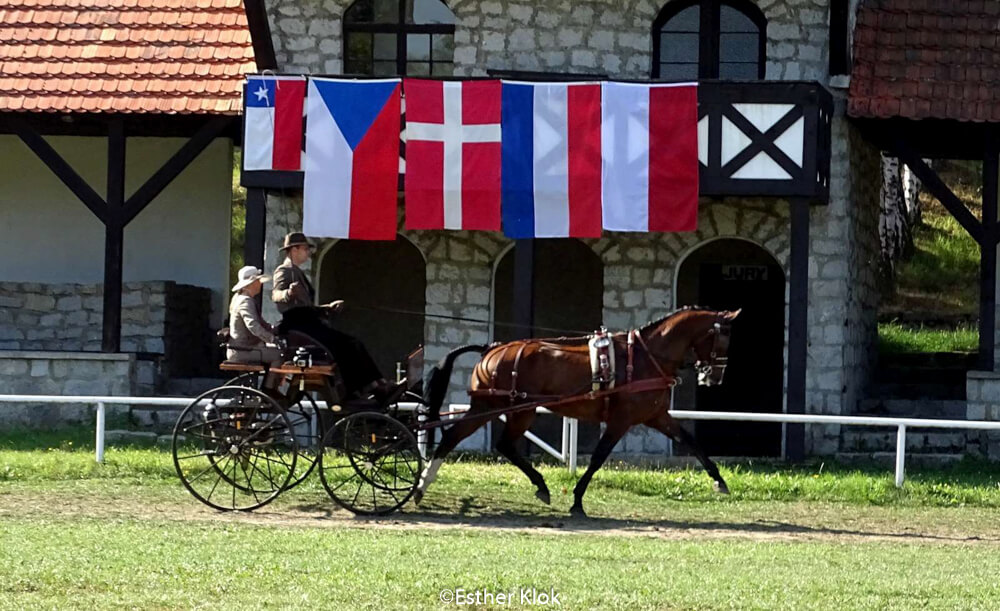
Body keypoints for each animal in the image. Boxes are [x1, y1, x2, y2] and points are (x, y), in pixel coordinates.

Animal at [410, 306, 740, 516]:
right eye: (723, 338)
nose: (715, 377)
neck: (646, 357)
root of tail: (492, 348)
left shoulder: (656, 416)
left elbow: (690, 441)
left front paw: (719, 481)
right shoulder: (621, 420)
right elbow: (597, 458)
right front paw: (578, 500)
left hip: (495, 407)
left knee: (469, 440)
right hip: (510, 409)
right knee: (483, 441)